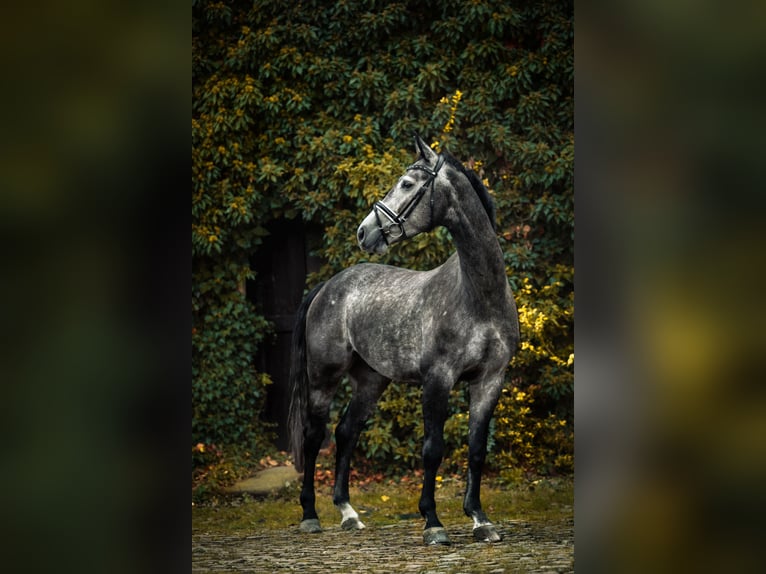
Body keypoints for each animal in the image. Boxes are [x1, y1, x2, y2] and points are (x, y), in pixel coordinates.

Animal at [288, 134, 519, 546]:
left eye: (408, 185)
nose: (364, 232)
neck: (479, 296)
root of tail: (328, 285)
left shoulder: (490, 381)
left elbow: (477, 450)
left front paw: (480, 520)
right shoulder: (437, 380)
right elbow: (432, 450)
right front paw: (433, 523)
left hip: (371, 381)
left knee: (346, 431)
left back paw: (348, 513)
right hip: (322, 379)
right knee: (314, 436)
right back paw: (311, 515)